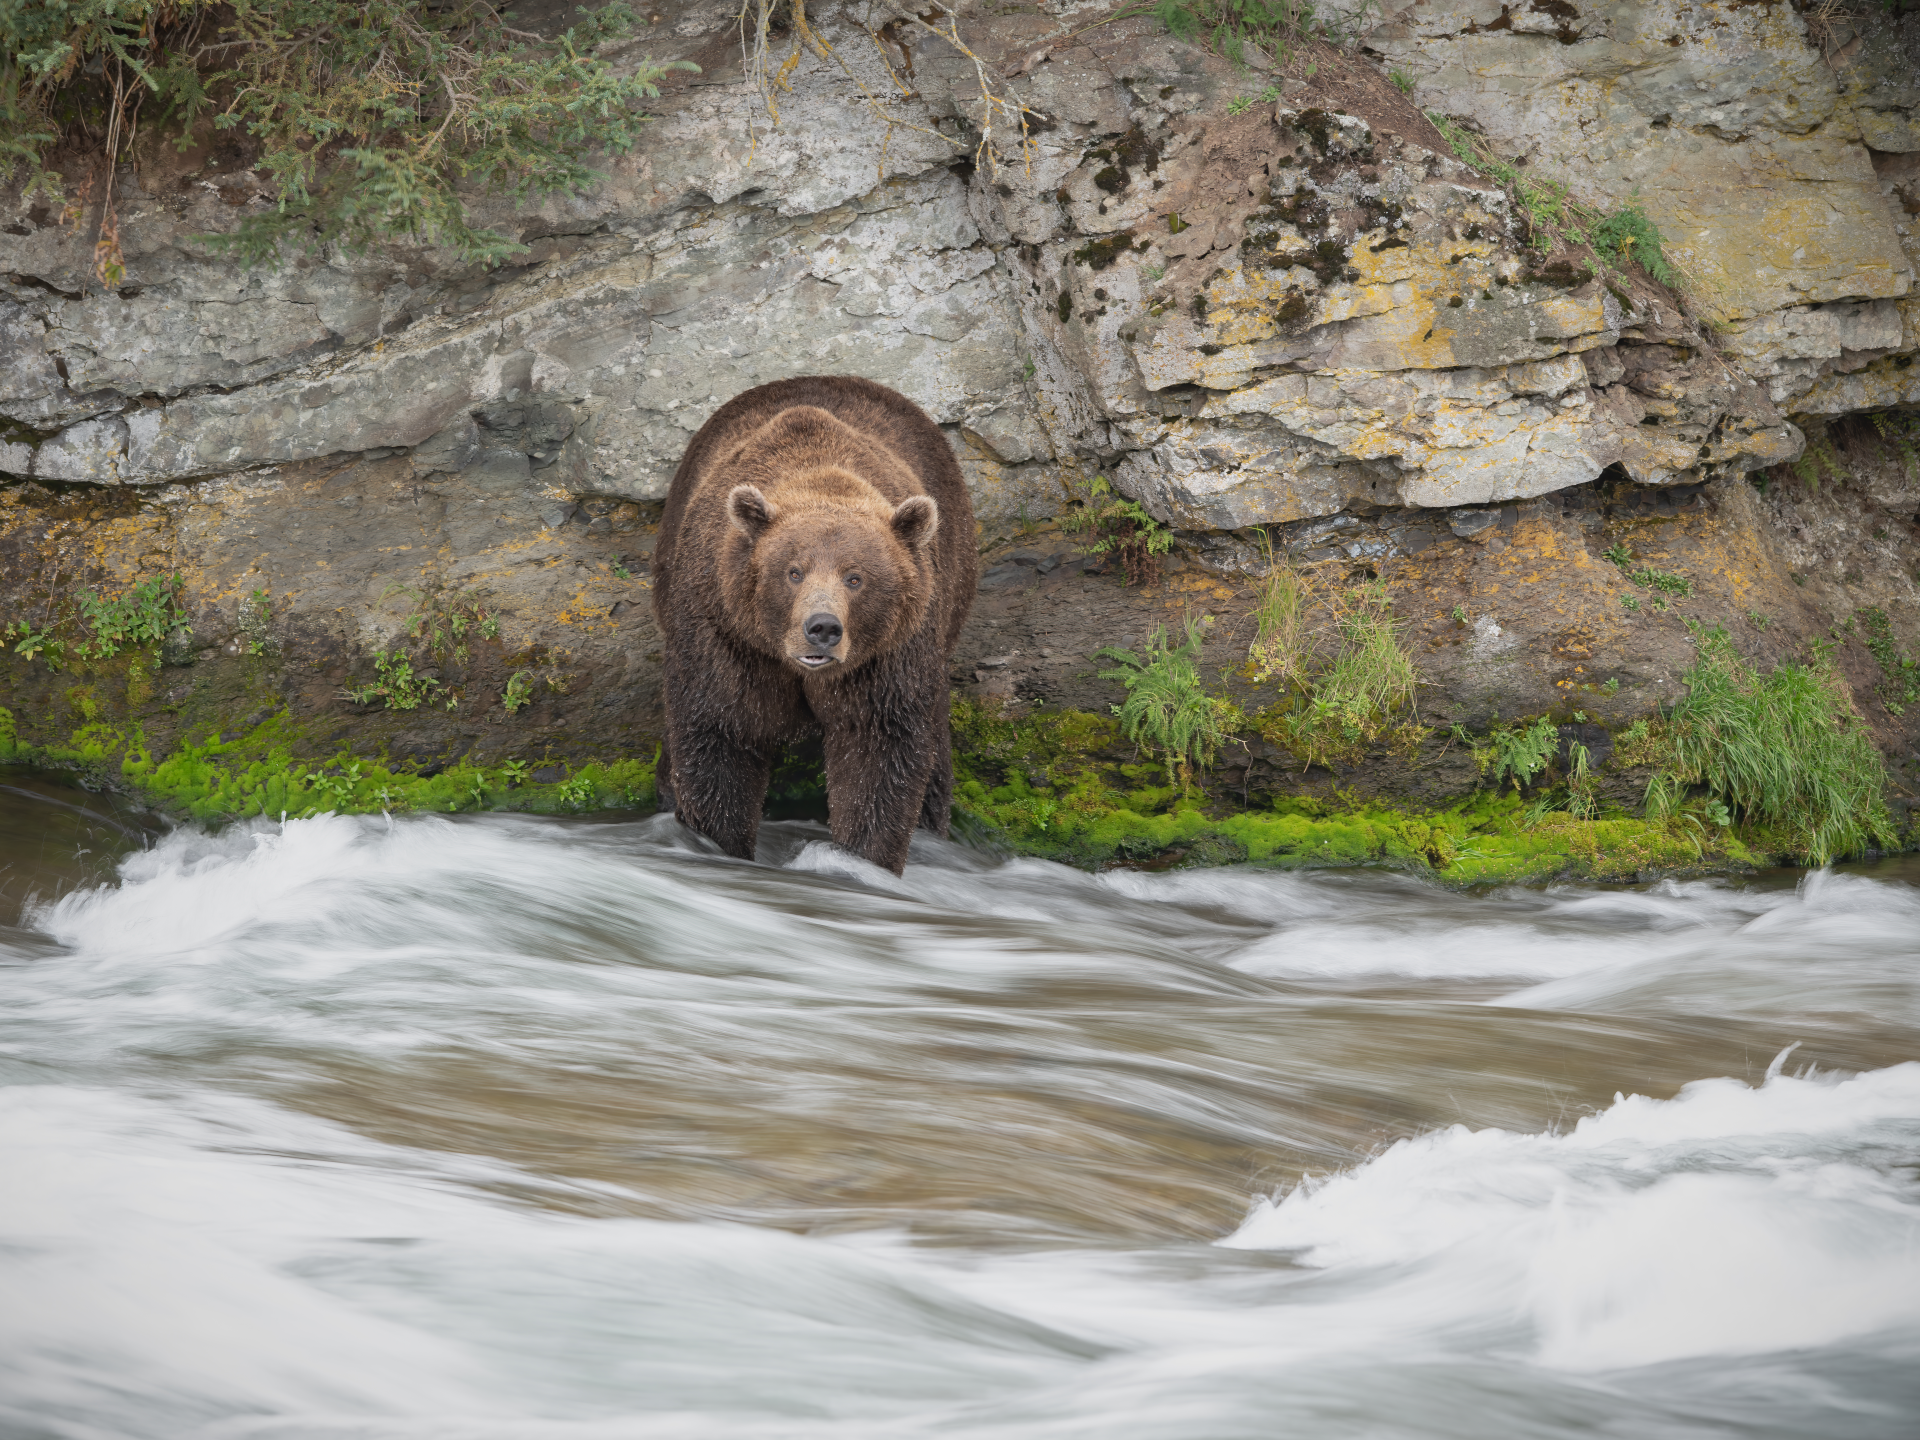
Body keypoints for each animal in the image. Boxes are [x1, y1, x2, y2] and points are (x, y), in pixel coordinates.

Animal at [651, 375, 976, 874]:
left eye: (855, 577)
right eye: (794, 571)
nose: (822, 628)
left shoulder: (884, 655)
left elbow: (878, 753)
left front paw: (862, 858)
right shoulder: (727, 634)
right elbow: (720, 736)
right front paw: (719, 843)